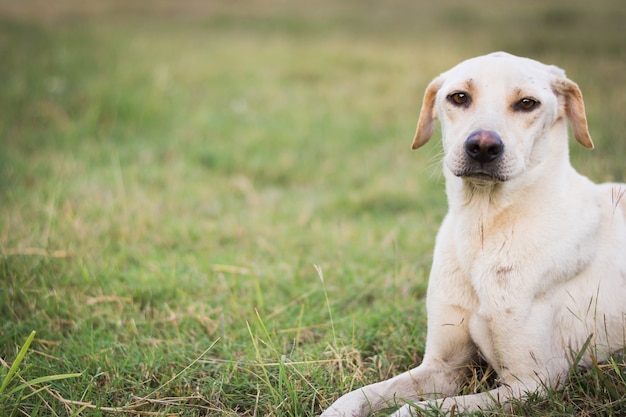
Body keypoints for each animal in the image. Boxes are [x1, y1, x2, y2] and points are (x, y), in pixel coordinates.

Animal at [322, 52, 624, 416]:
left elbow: (412, 410)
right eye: (459, 97)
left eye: (527, 103)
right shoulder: (443, 365)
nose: (482, 146)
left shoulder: (532, 384)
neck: (483, 228)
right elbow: (355, 396)